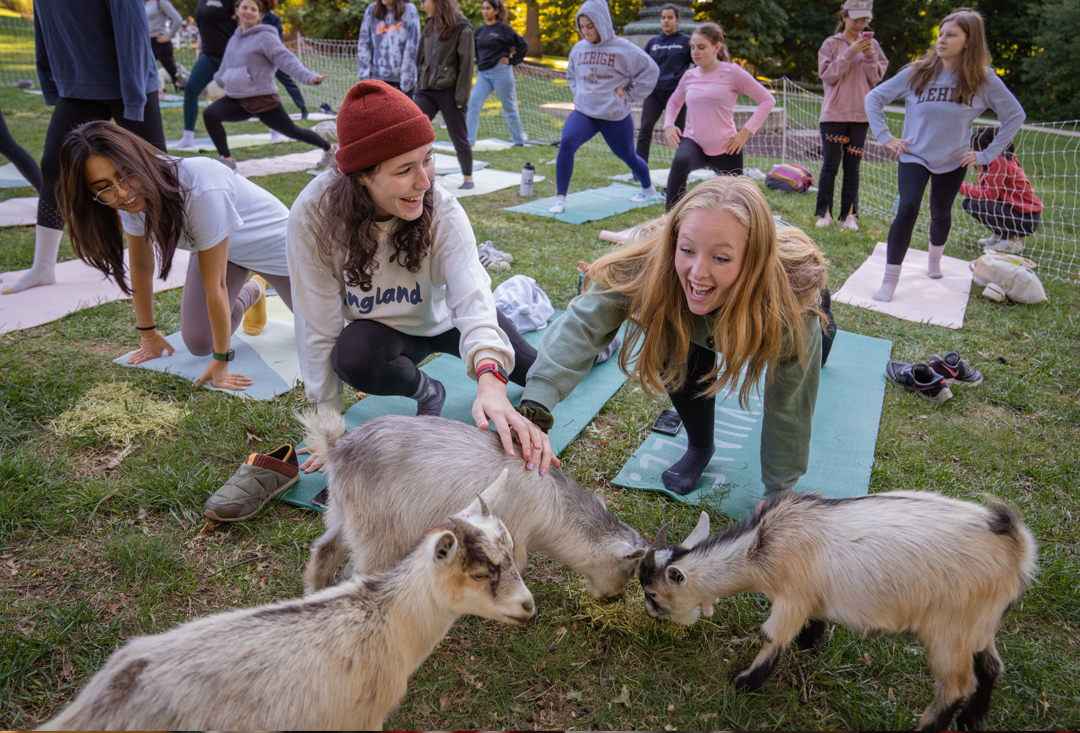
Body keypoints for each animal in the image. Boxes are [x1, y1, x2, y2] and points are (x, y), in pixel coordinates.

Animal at [35, 472, 533, 729]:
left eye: (511, 553)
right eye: (481, 572)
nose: (528, 606)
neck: (386, 617)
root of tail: (99, 703)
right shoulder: (359, 718)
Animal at [300, 412, 643, 600]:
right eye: (630, 568)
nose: (614, 598)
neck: (553, 504)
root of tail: (339, 447)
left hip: (342, 514)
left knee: (324, 550)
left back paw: (314, 592)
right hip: (381, 536)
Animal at [639, 490, 1036, 729]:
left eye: (653, 594)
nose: (649, 613)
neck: (759, 548)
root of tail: (1017, 547)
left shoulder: (791, 597)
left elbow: (773, 637)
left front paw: (744, 682)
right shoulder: (812, 598)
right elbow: (811, 627)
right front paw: (810, 646)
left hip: (949, 631)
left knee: (955, 687)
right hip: (978, 625)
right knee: (991, 666)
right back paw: (974, 719)